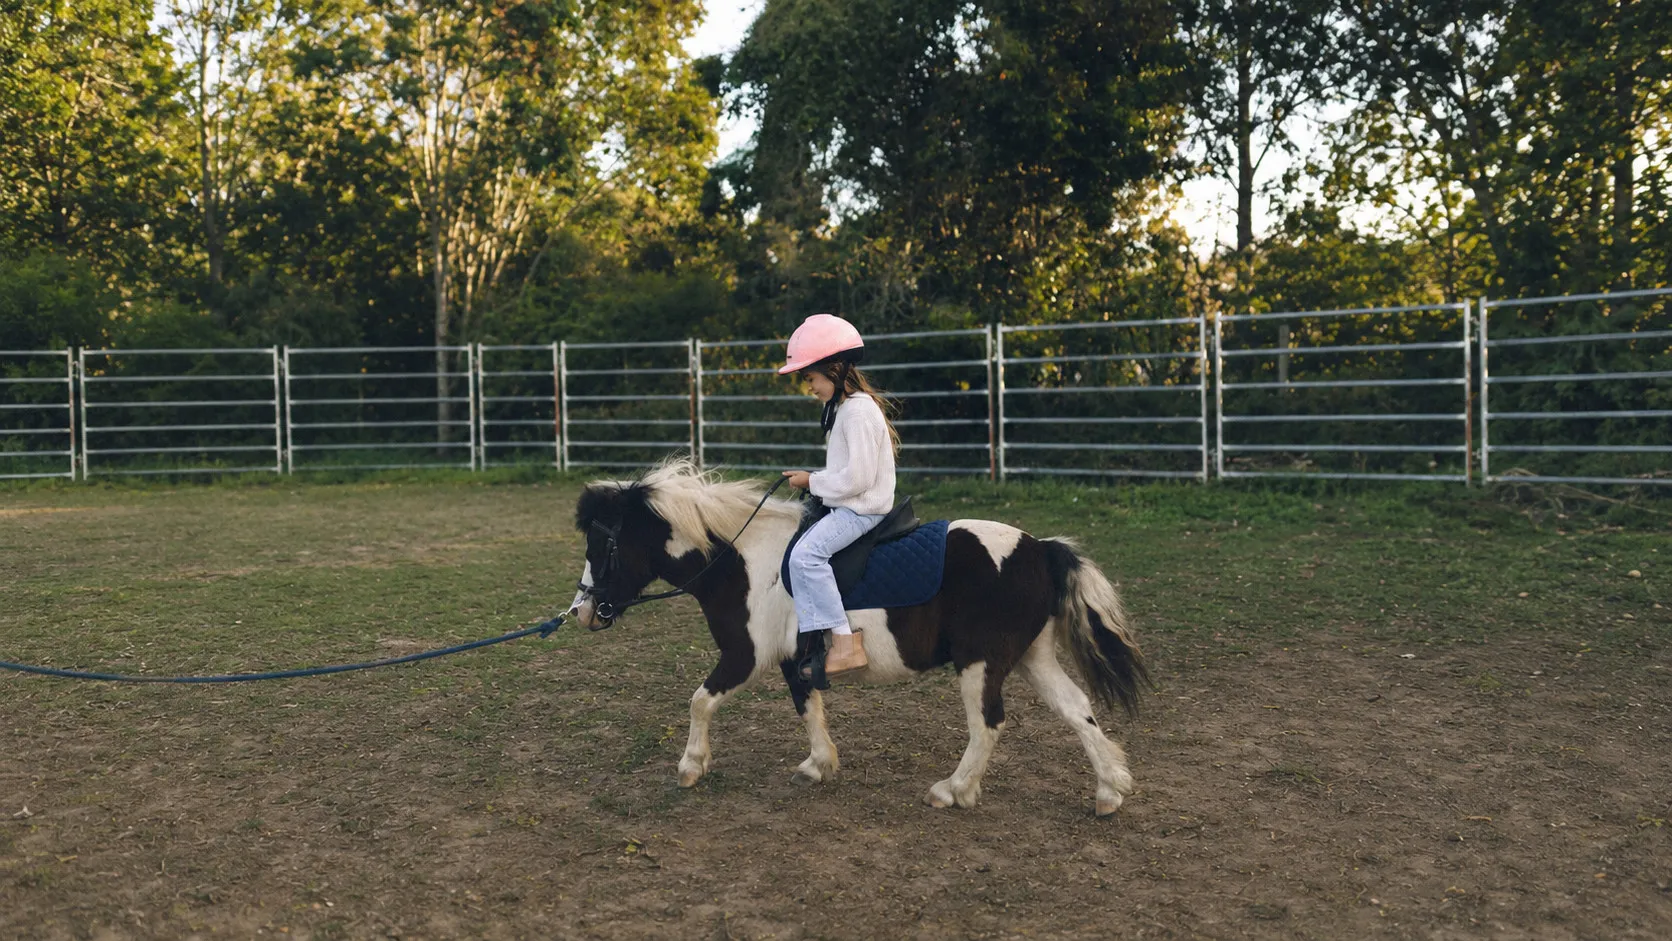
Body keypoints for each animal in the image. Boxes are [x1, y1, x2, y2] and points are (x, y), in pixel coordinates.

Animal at [566, 459, 1149, 816]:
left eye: (600, 546)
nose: (583, 612)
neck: (745, 561)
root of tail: (1040, 549)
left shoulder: (745, 656)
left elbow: (700, 701)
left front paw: (691, 766)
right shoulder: (793, 660)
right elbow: (809, 707)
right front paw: (819, 765)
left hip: (981, 664)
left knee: (988, 725)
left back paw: (954, 790)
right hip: (1031, 657)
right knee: (1077, 709)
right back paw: (1109, 791)